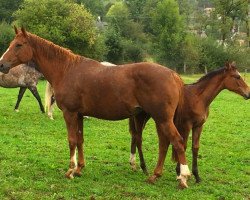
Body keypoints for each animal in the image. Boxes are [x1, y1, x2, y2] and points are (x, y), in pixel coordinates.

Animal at [0, 27, 190, 188]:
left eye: (18, 45)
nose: (1, 64)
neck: (66, 70)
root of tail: (173, 74)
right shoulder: (79, 115)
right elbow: (80, 140)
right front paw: (79, 169)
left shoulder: (70, 113)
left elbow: (72, 140)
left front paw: (70, 171)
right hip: (159, 119)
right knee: (164, 144)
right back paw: (155, 175)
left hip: (162, 119)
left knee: (177, 142)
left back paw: (183, 178)